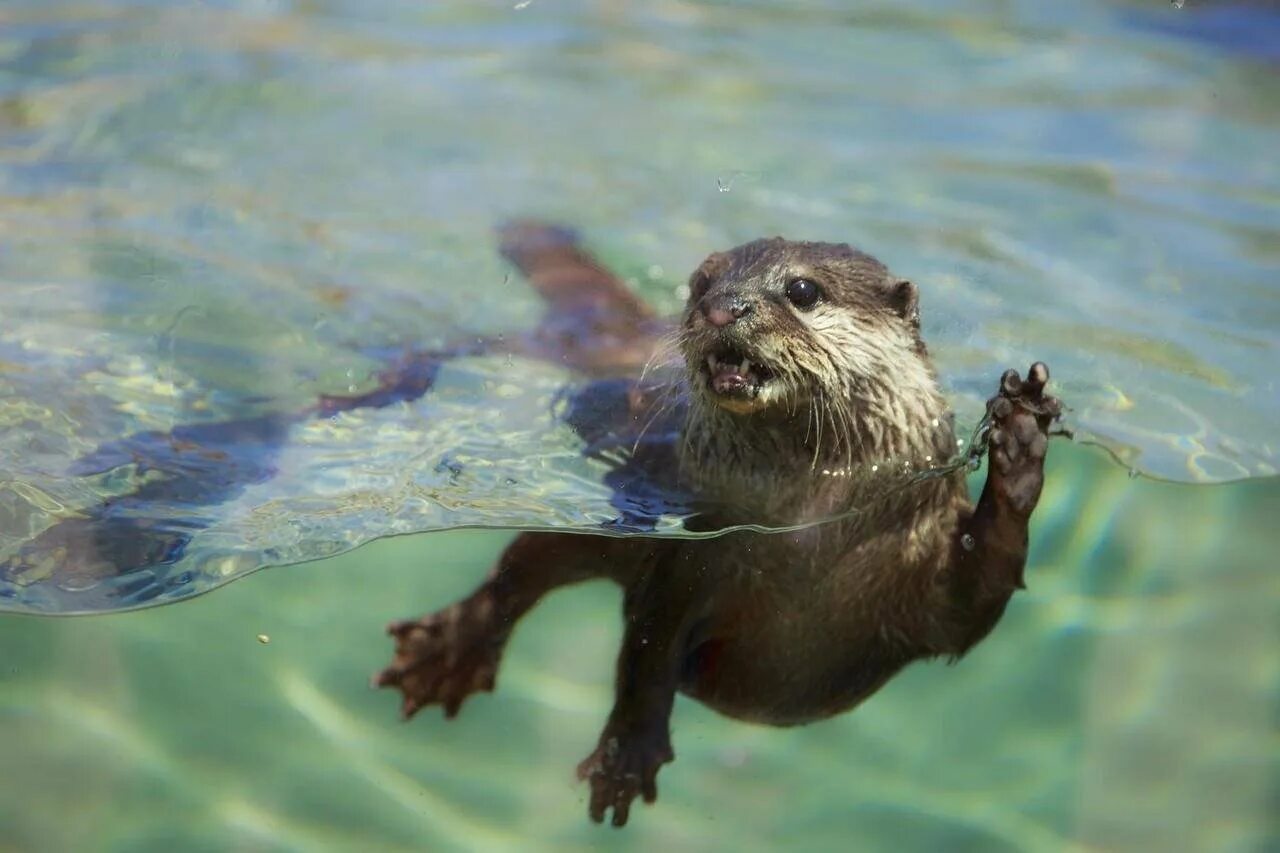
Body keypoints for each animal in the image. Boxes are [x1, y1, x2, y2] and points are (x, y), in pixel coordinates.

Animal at [371, 219, 1059, 824]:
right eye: (702, 284)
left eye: (802, 290)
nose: (723, 308)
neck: (811, 525)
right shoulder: (690, 553)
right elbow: (647, 651)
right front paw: (627, 754)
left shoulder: (922, 566)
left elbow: (976, 601)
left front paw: (1020, 440)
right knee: (526, 562)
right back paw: (447, 649)